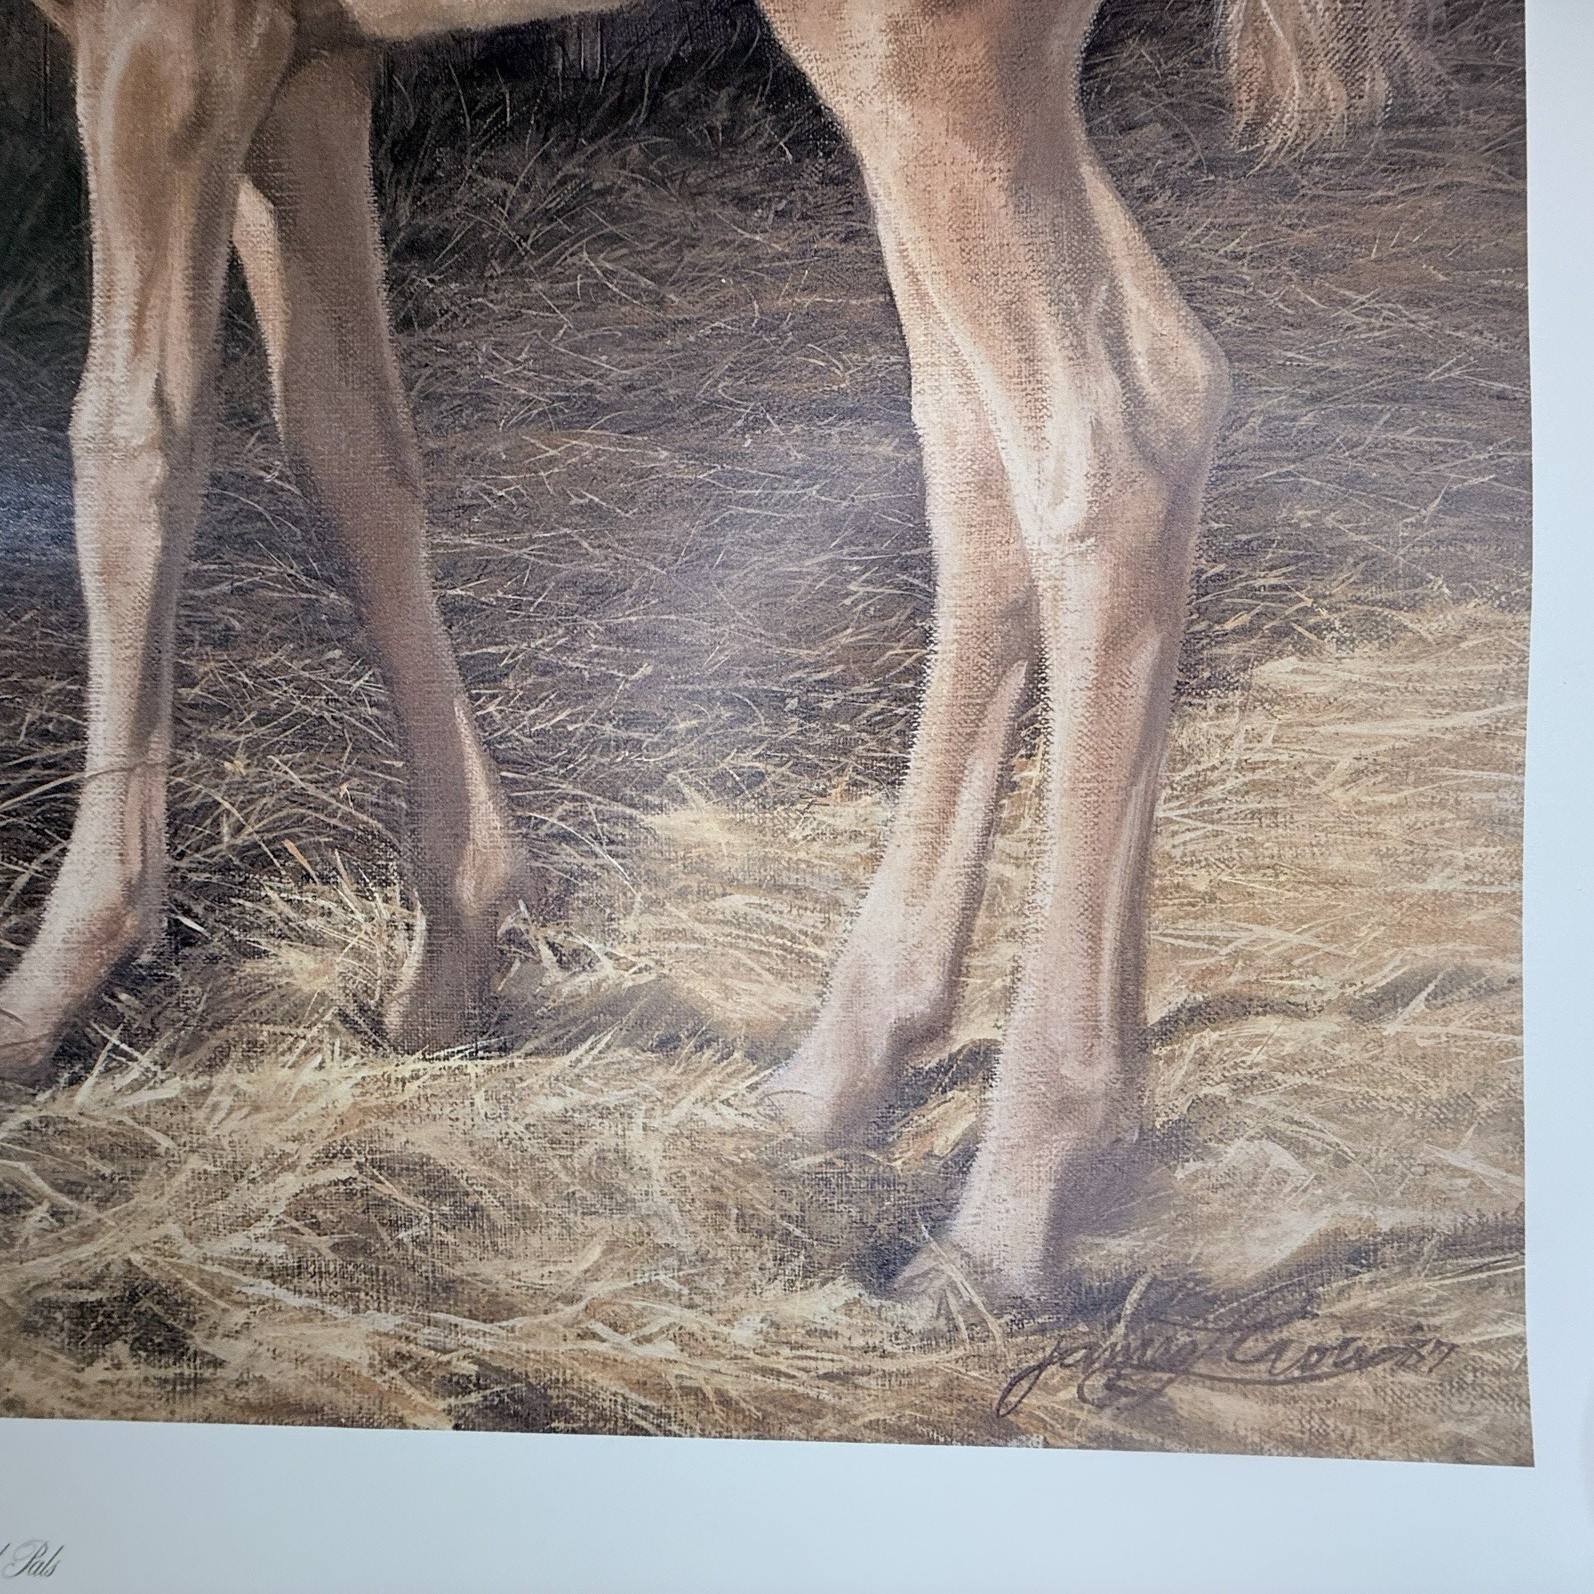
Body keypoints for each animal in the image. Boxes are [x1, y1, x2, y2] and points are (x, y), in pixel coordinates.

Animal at [1, 0, 1439, 1299]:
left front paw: (60, 972)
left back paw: (1014, 1202)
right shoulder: (314, 67)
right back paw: (836, 1074)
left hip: (922, 59)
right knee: (974, 460)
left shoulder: (175, 41)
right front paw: (456, 945)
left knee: (1118, 436)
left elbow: (131, 438)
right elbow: (345, 446)